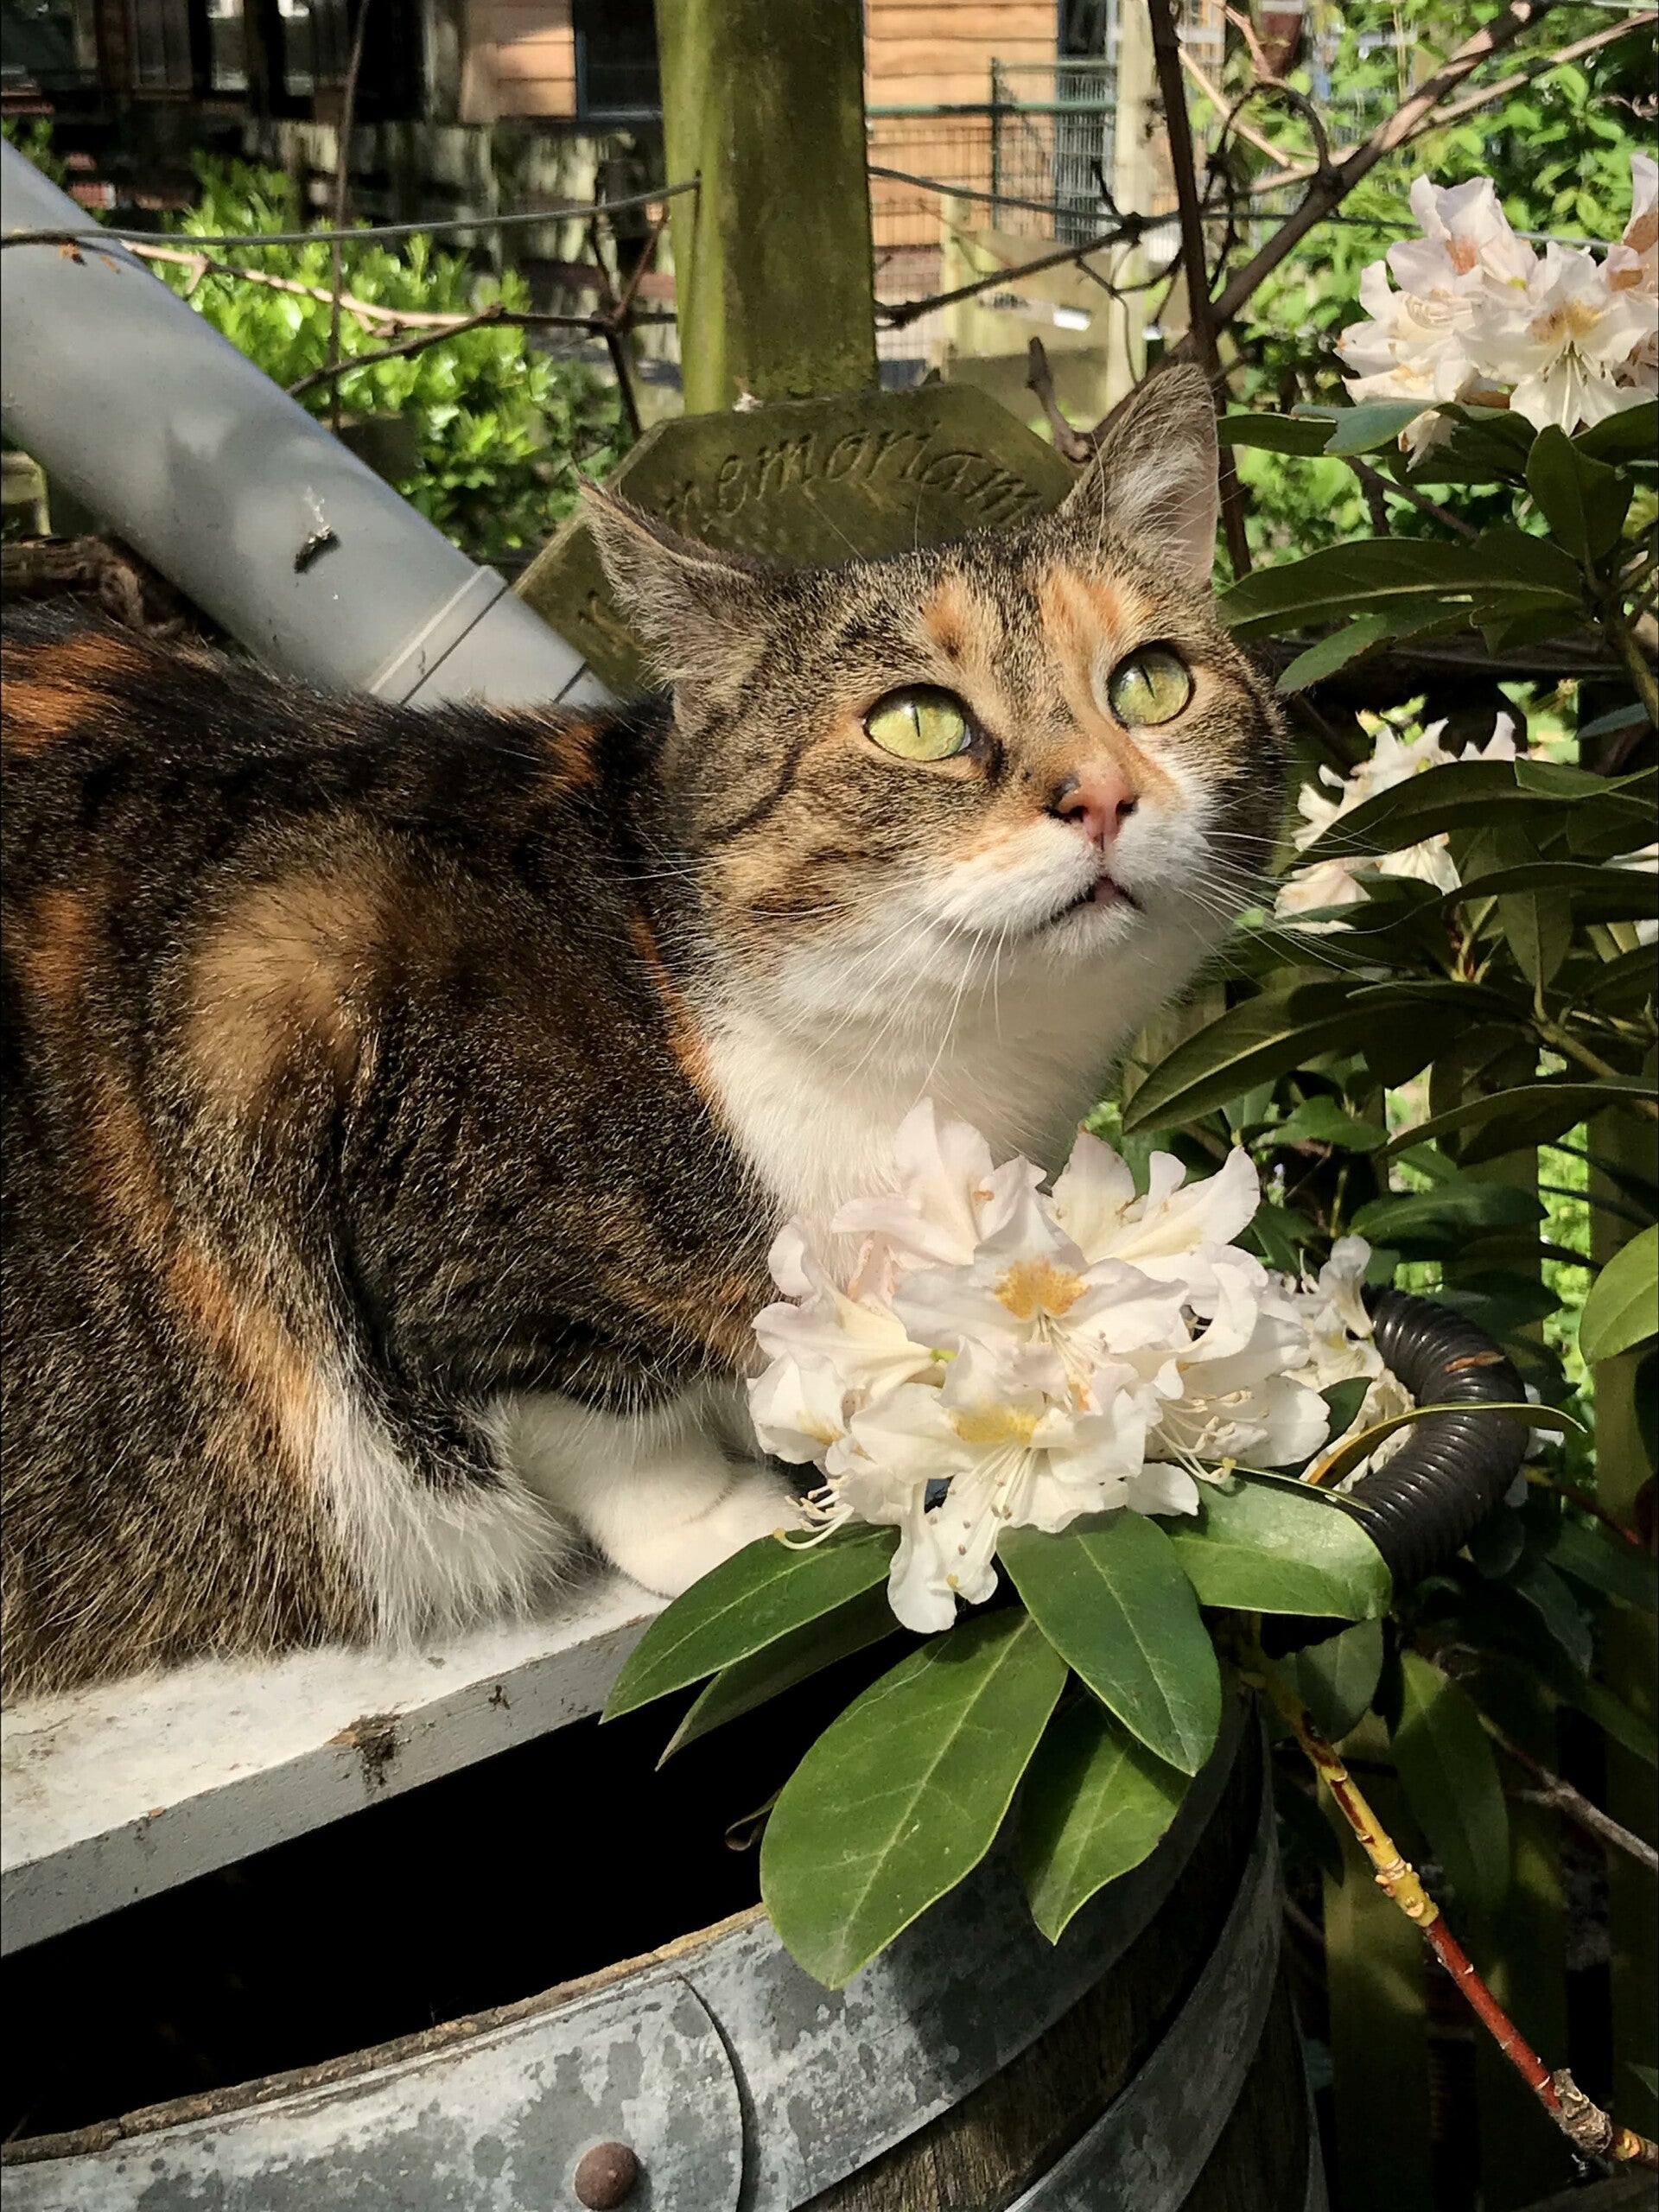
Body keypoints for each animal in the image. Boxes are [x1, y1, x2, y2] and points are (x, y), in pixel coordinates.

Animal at [0, 365, 1285, 1698]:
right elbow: (594, 1415)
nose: (1104, 793)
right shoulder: (299, 1007)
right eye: (918, 722)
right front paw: (714, 1512)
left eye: (1151, 681)